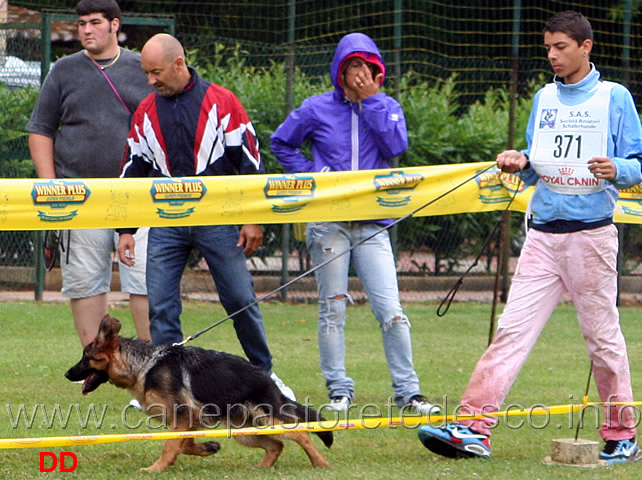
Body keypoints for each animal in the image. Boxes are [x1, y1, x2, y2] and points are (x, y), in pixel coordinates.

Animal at [65, 316, 332, 472]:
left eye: (85, 357)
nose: (67, 373)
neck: (144, 365)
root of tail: (268, 379)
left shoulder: (184, 415)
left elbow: (171, 446)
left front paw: (155, 469)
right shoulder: (186, 421)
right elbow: (183, 444)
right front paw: (207, 448)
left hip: (270, 419)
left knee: (301, 435)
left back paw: (320, 462)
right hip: (243, 431)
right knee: (276, 445)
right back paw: (262, 467)